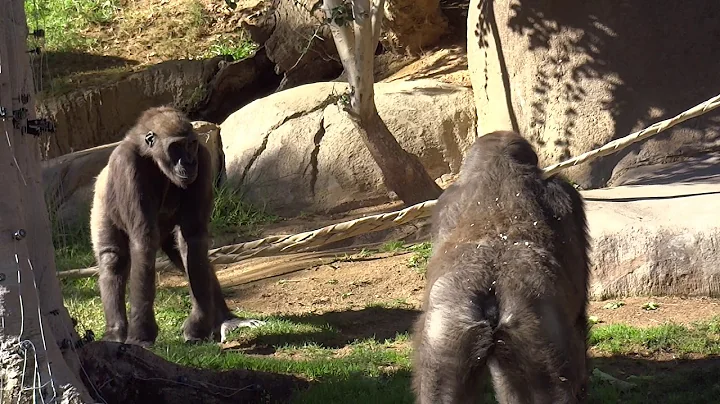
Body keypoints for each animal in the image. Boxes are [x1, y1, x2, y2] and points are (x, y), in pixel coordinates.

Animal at [90, 106, 264, 347]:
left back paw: (227, 319)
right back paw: (114, 333)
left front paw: (197, 326)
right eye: (176, 147)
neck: (152, 157)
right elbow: (143, 242)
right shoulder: (126, 164)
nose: (189, 162)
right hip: (100, 207)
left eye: (190, 145)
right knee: (112, 259)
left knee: (185, 255)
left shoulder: (203, 157)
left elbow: (193, 238)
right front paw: (142, 332)